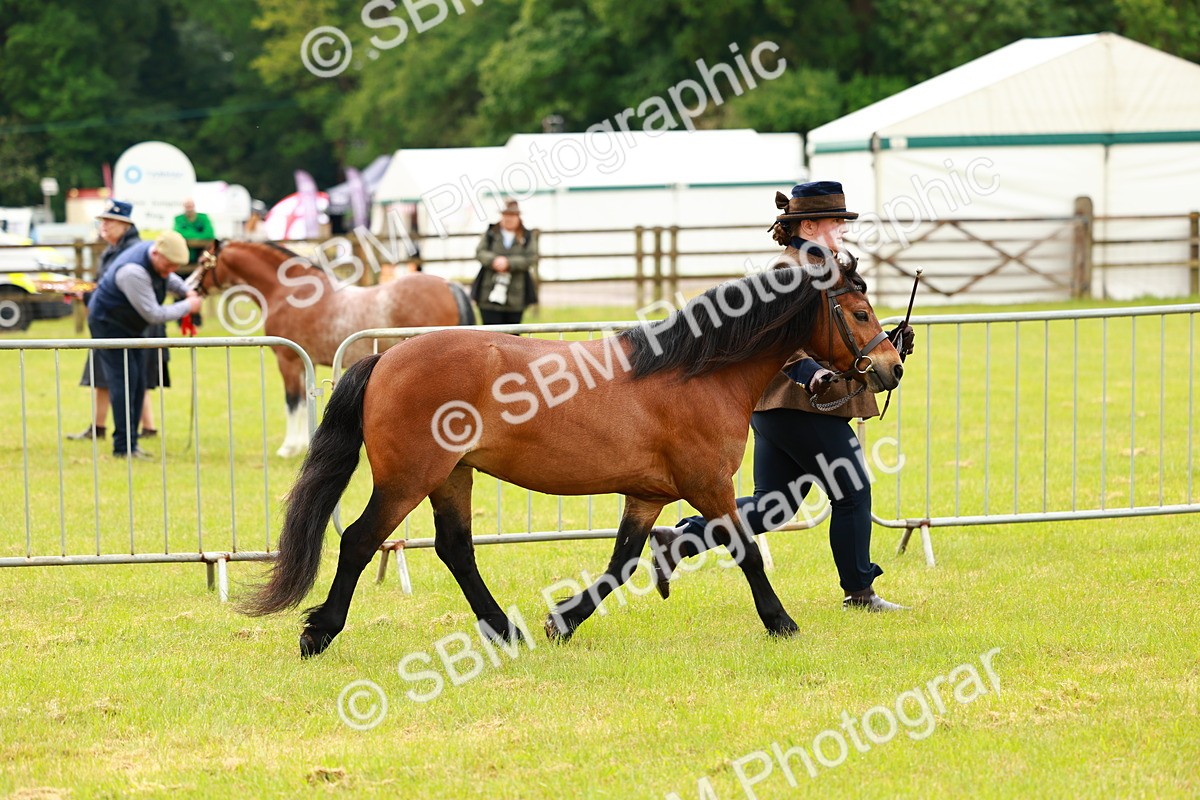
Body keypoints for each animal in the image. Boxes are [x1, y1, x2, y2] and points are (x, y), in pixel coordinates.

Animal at [194, 241, 474, 457]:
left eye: (205, 262)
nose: (194, 288)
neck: (288, 292)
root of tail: (449, 285)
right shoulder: (305, 361)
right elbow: (304, 400)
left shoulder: (288, 360)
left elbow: (292, 401)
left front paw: (288, 448)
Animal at [239, 256, 903, 657]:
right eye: (859, 311)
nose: (892, 365)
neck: (698, 373)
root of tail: (386, 358)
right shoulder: (709, 485)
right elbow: (745, 551)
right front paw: (781, 622)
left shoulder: (648, 495)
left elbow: (623, 562)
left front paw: (563, 620)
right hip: (408, 479)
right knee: (358, 540)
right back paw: (319, 632)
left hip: (452, 477)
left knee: (456, 549)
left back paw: (504, 630)